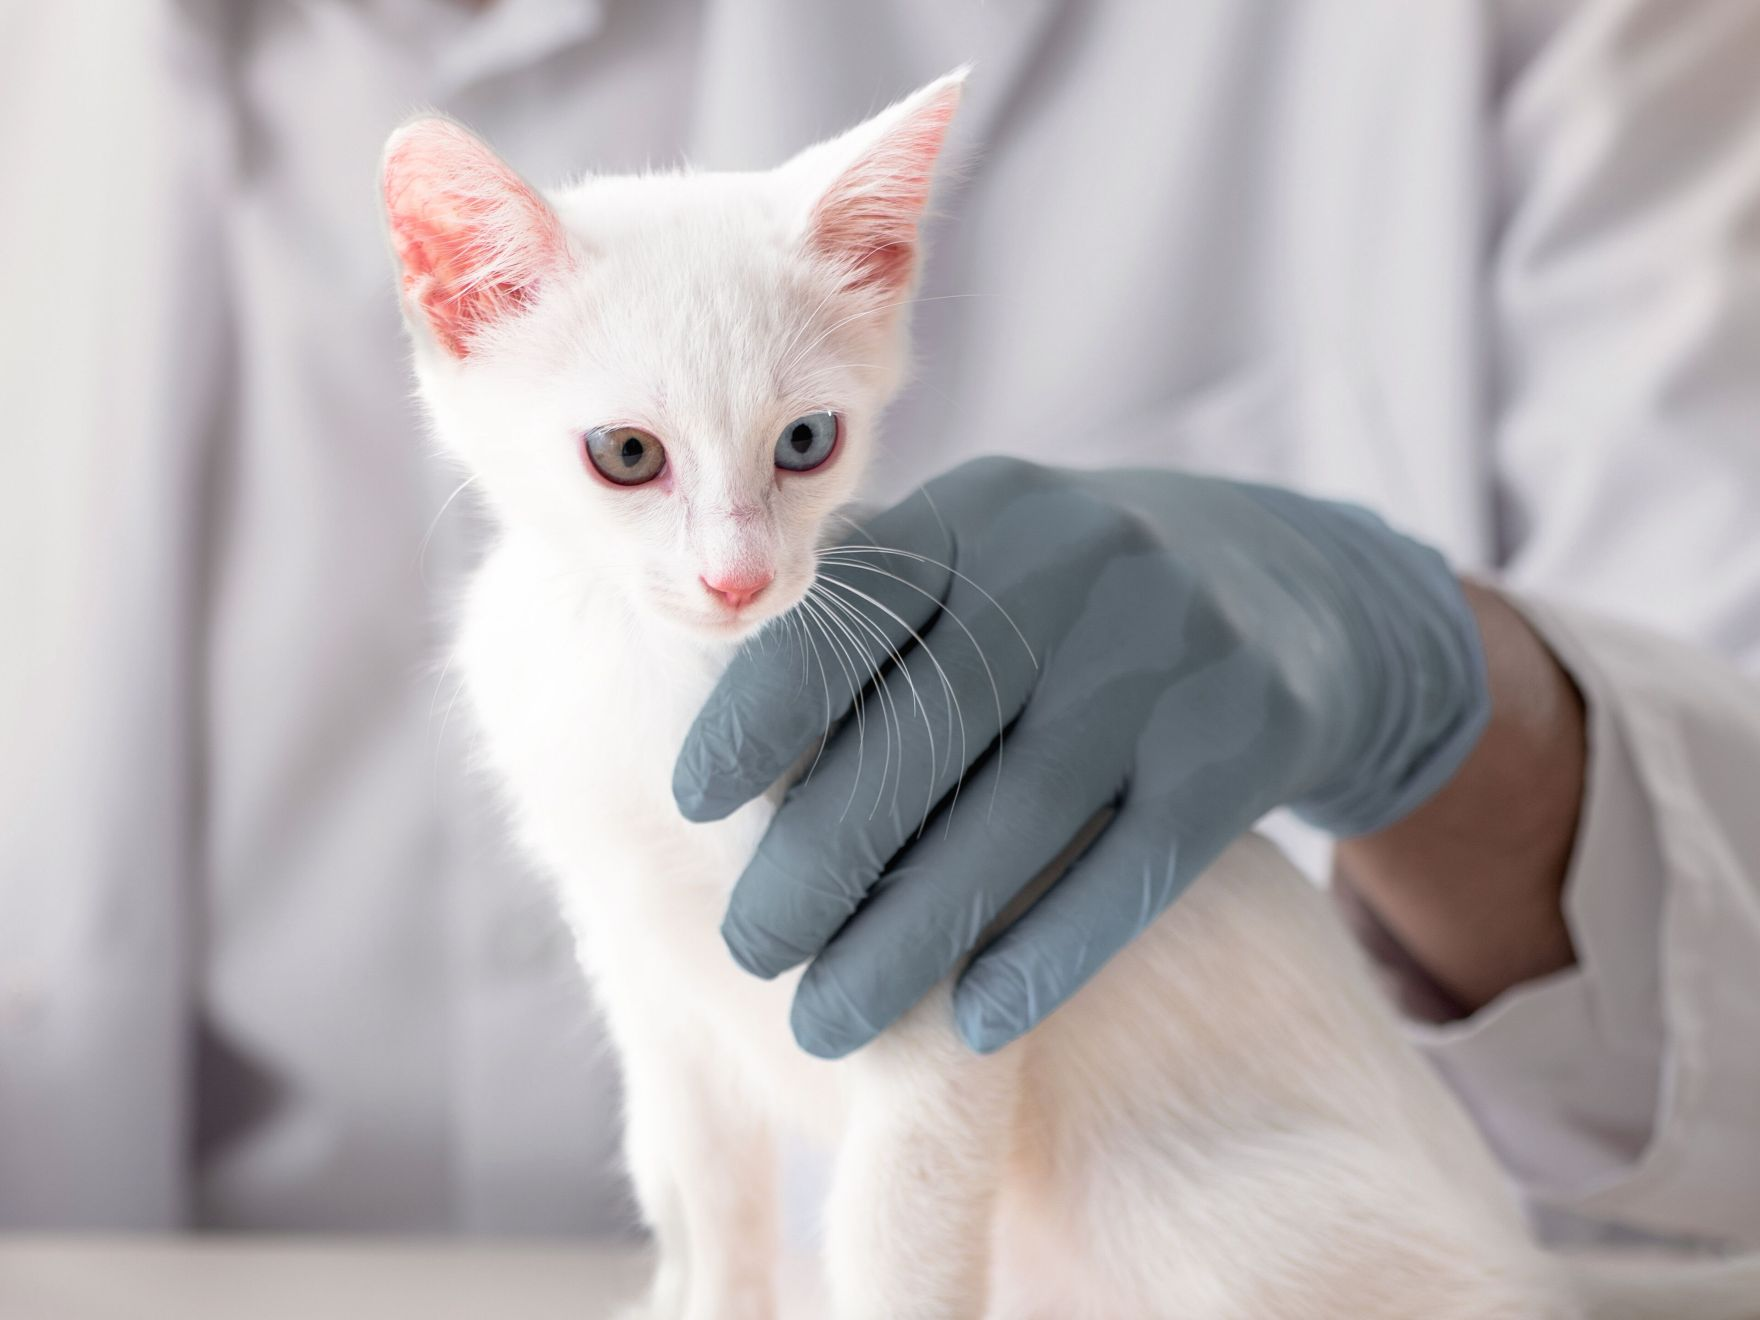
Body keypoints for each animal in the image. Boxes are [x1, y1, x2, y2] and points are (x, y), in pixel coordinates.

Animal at [385, 72, 1760, 1320]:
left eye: (805, 442)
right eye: (626, 455)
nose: (739, 581)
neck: (662, 683)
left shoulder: (923, 972)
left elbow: (895, 1245)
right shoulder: (654, 998)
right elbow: (705, 1213)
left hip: (1180, 1214)